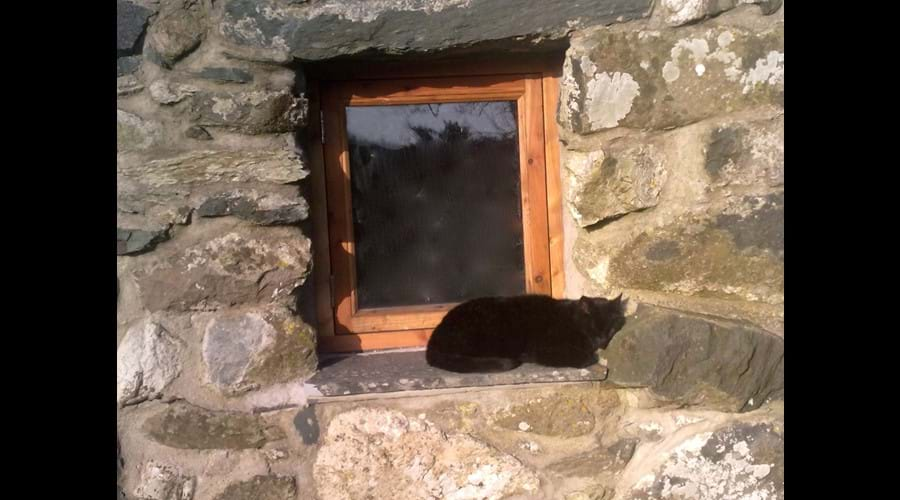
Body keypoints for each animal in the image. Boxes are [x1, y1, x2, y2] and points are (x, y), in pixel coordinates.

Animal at [424, 294, 624, 374]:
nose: (602, 341)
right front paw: (592, 356)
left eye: (611, 329)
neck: (571, 320)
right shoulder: (546, 349)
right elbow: (585, 358)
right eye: (593, 327)